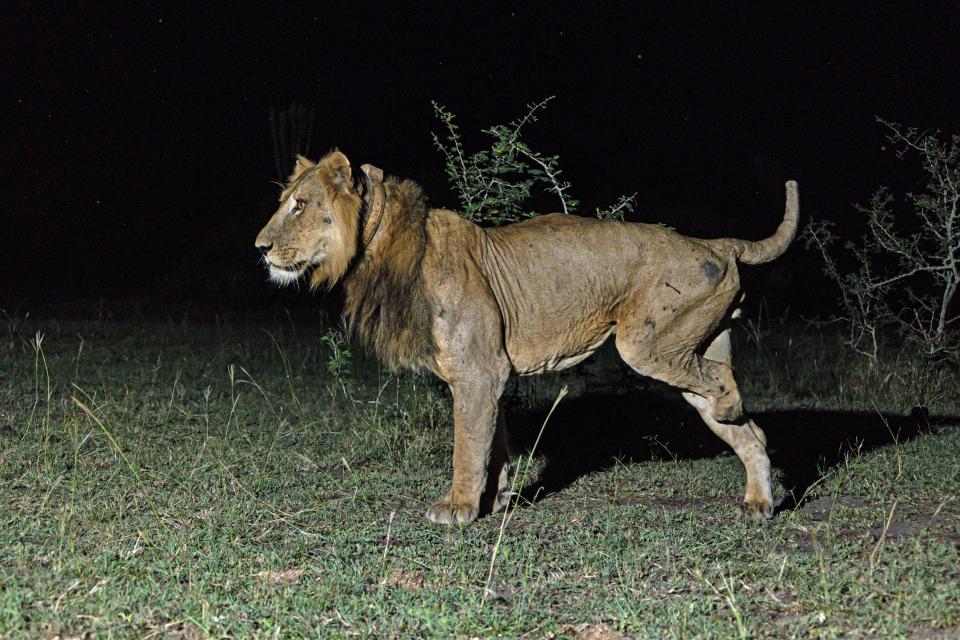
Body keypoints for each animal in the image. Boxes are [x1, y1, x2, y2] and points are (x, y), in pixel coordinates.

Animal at [253, 151, 796, 524]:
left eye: (300, 205)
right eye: (284, 203)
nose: (260, 247)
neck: (380, 247)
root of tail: (713, 242)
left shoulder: (477, 372)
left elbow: (467, 446)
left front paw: (458, 508)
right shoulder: (489, 374)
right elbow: (493, 443)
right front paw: (496, 499)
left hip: (647, 344)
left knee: (724, 385)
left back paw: (733, 411)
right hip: (689, 346)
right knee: (750, 430)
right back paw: (758, 502)